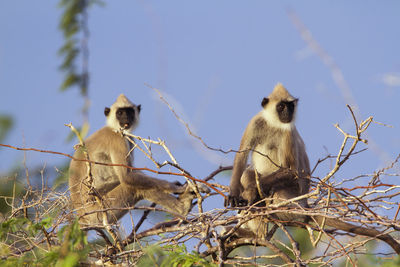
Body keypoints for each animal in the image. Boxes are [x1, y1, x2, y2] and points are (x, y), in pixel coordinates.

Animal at [69, 94, 208, 228]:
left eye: (130, 112)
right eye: (120, 113)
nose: (126, 118)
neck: (112, 128)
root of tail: (81, 216)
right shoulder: (117, 138)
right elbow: (127, 177)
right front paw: (175, 187)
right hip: (101, 210)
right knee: (133, 187)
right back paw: (183, 207)